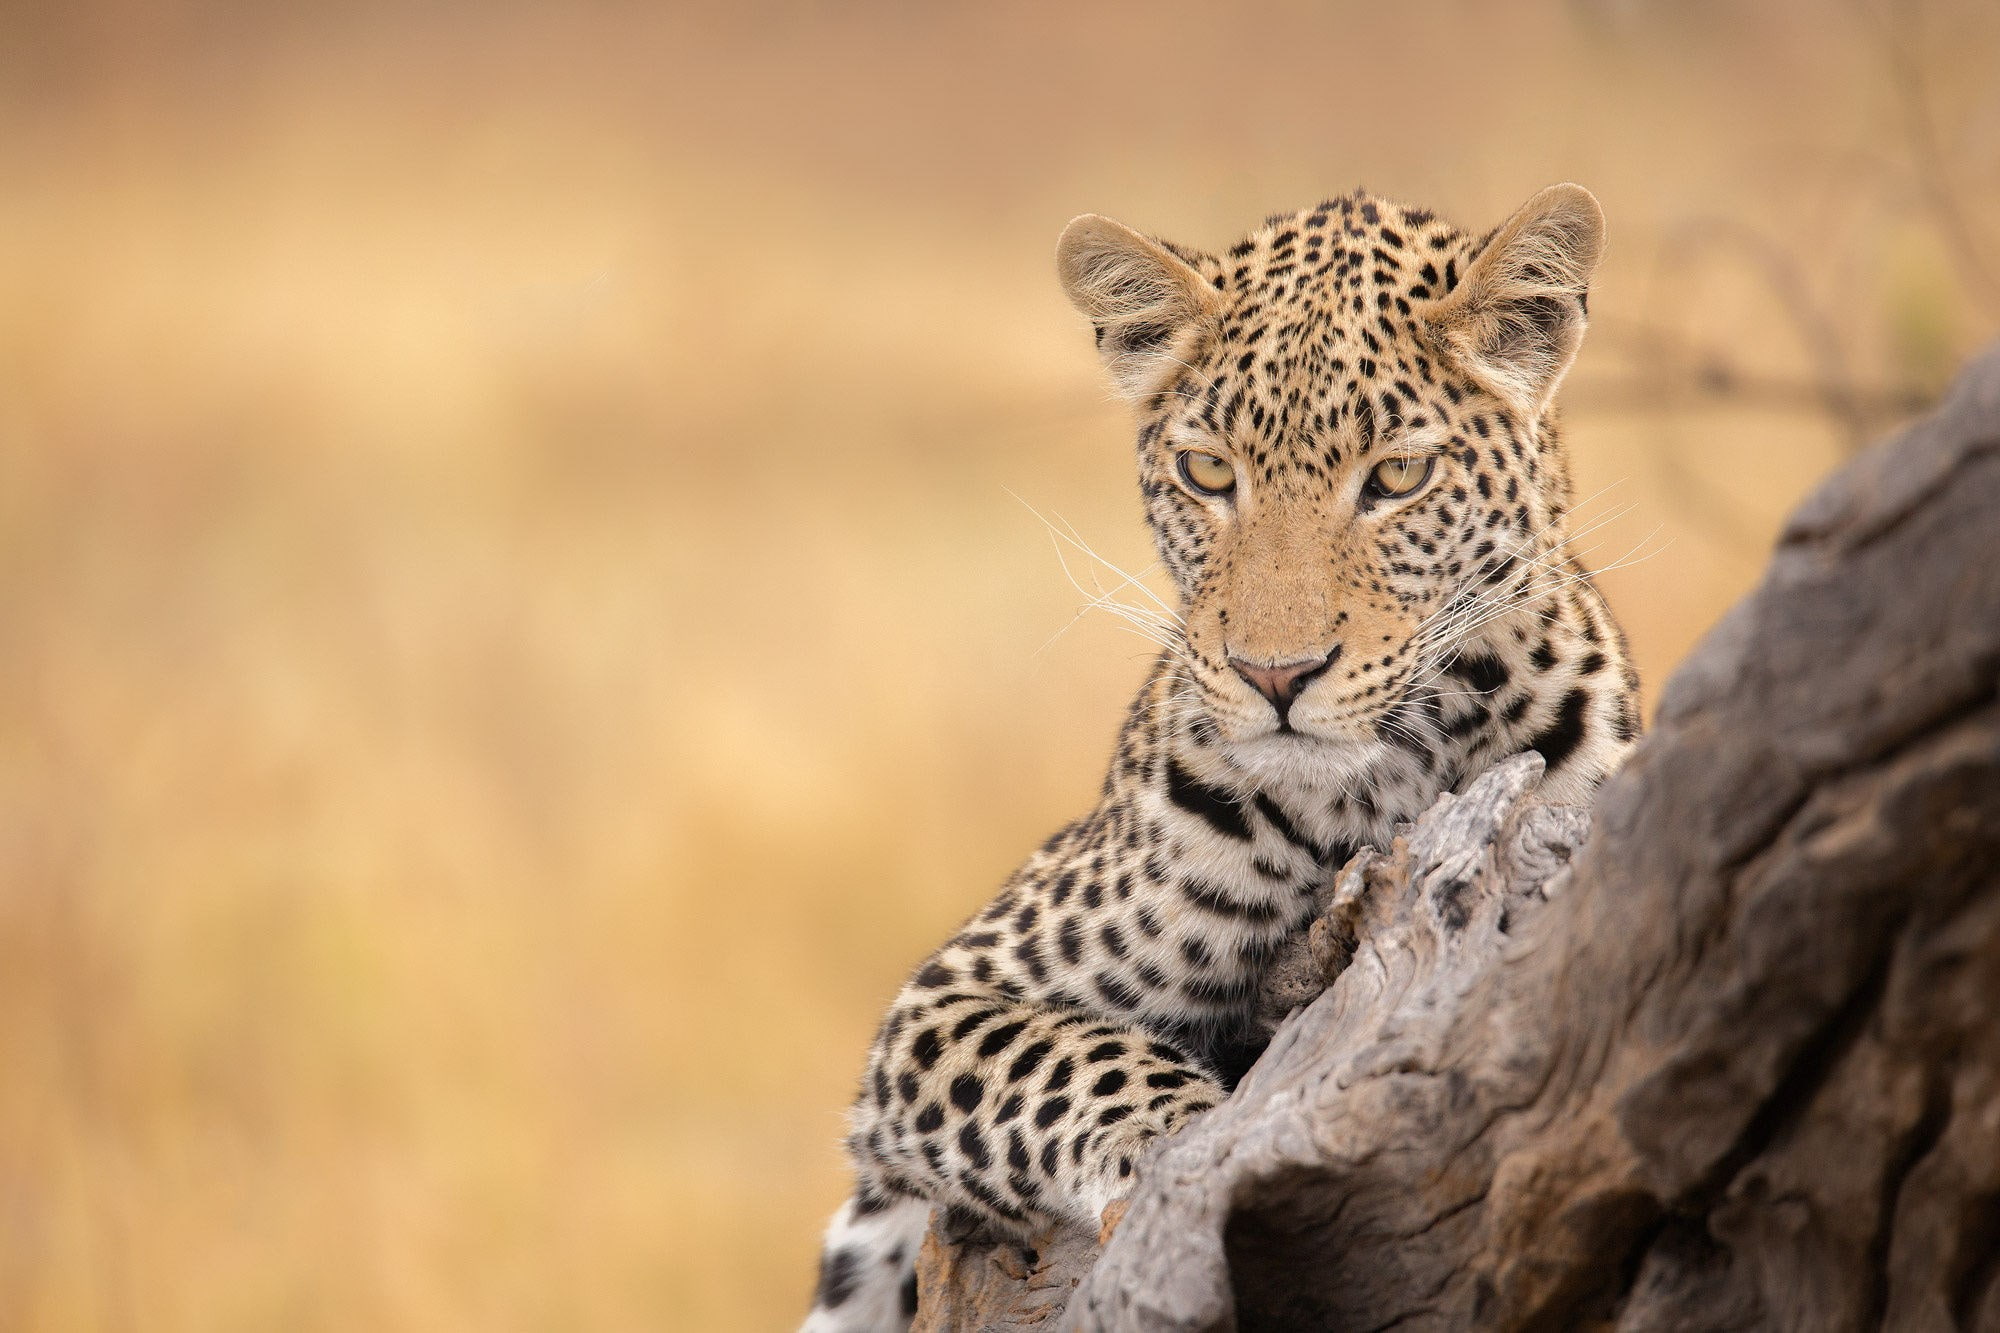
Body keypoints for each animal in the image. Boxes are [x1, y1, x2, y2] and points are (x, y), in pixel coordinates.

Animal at [802, 183, 1641, 1331]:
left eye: (1397, 477)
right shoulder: (947, 998)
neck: (1381, 793)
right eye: (1208, 472)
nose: (1274, 675)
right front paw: (1171, 1164)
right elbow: (1070, 1057)